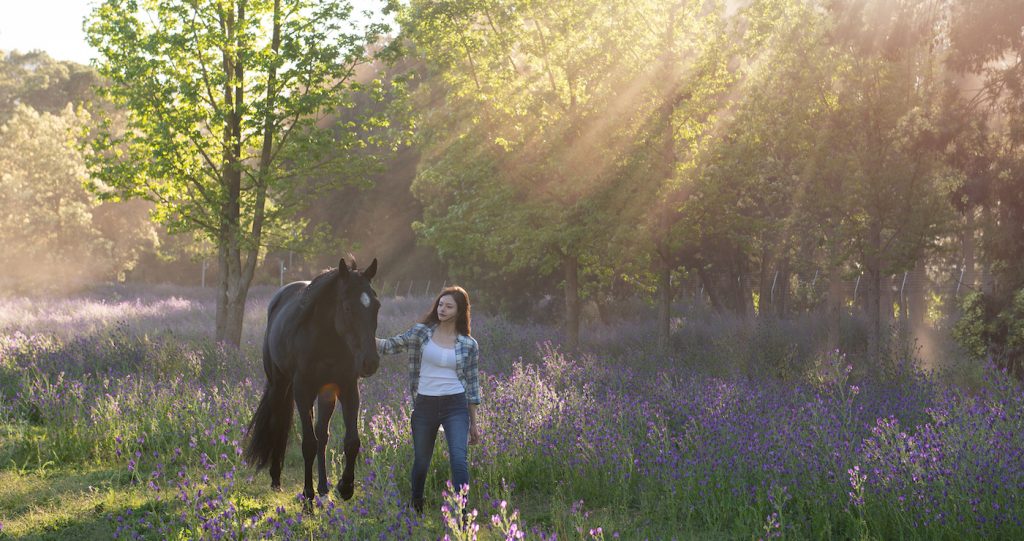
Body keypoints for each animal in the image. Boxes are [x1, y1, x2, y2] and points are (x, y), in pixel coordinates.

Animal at [243, 259, 380, 502]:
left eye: (377, 306)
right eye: (347, 307)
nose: (370, 362)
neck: (327, 341)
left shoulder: (348, 389)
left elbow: (351, 441)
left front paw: (345, 486)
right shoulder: (302, 390)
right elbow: (308, 443)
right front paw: (307, 495)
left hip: (326, 393)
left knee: (322, 435)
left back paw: (324, 488)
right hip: (280, 385)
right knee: (278, 424)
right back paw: (276, 478)